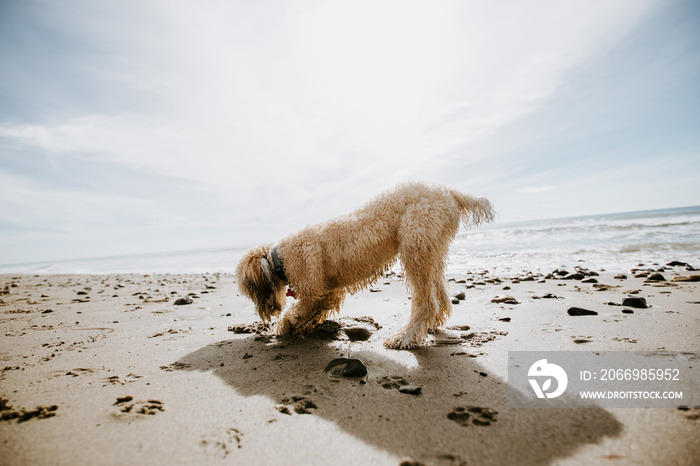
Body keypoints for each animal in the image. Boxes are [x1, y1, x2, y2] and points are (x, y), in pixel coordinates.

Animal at [235, 180, 492, 348]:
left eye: (250, 290)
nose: (266, 313)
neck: (281, 259)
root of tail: (449, 192)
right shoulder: (329, 292)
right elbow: (312, 311)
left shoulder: (315, 290)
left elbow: (298, 311)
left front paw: (284, 327)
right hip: (431, 251)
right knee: (440, 298)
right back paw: (430, 326)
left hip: (416, 248)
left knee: (427, 303)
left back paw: (406, 337)